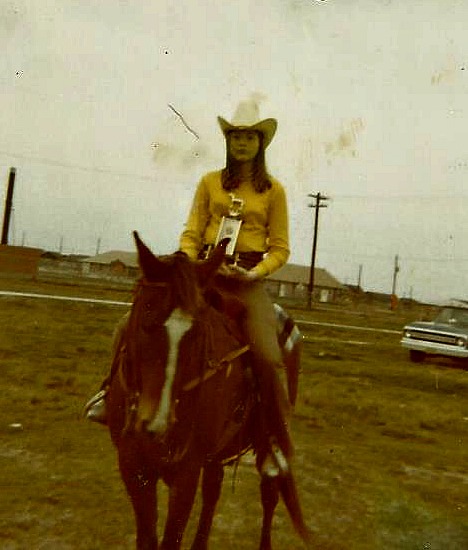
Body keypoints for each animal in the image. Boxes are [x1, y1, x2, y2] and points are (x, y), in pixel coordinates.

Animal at [106, 234, 310, 550]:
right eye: (145, 314)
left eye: (199, 330)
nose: (157, 424)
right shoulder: (132, 466)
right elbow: (148, 538)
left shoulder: (186, 472)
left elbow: (171, 539)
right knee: (214, 489)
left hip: (268, 441)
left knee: (269, 493)